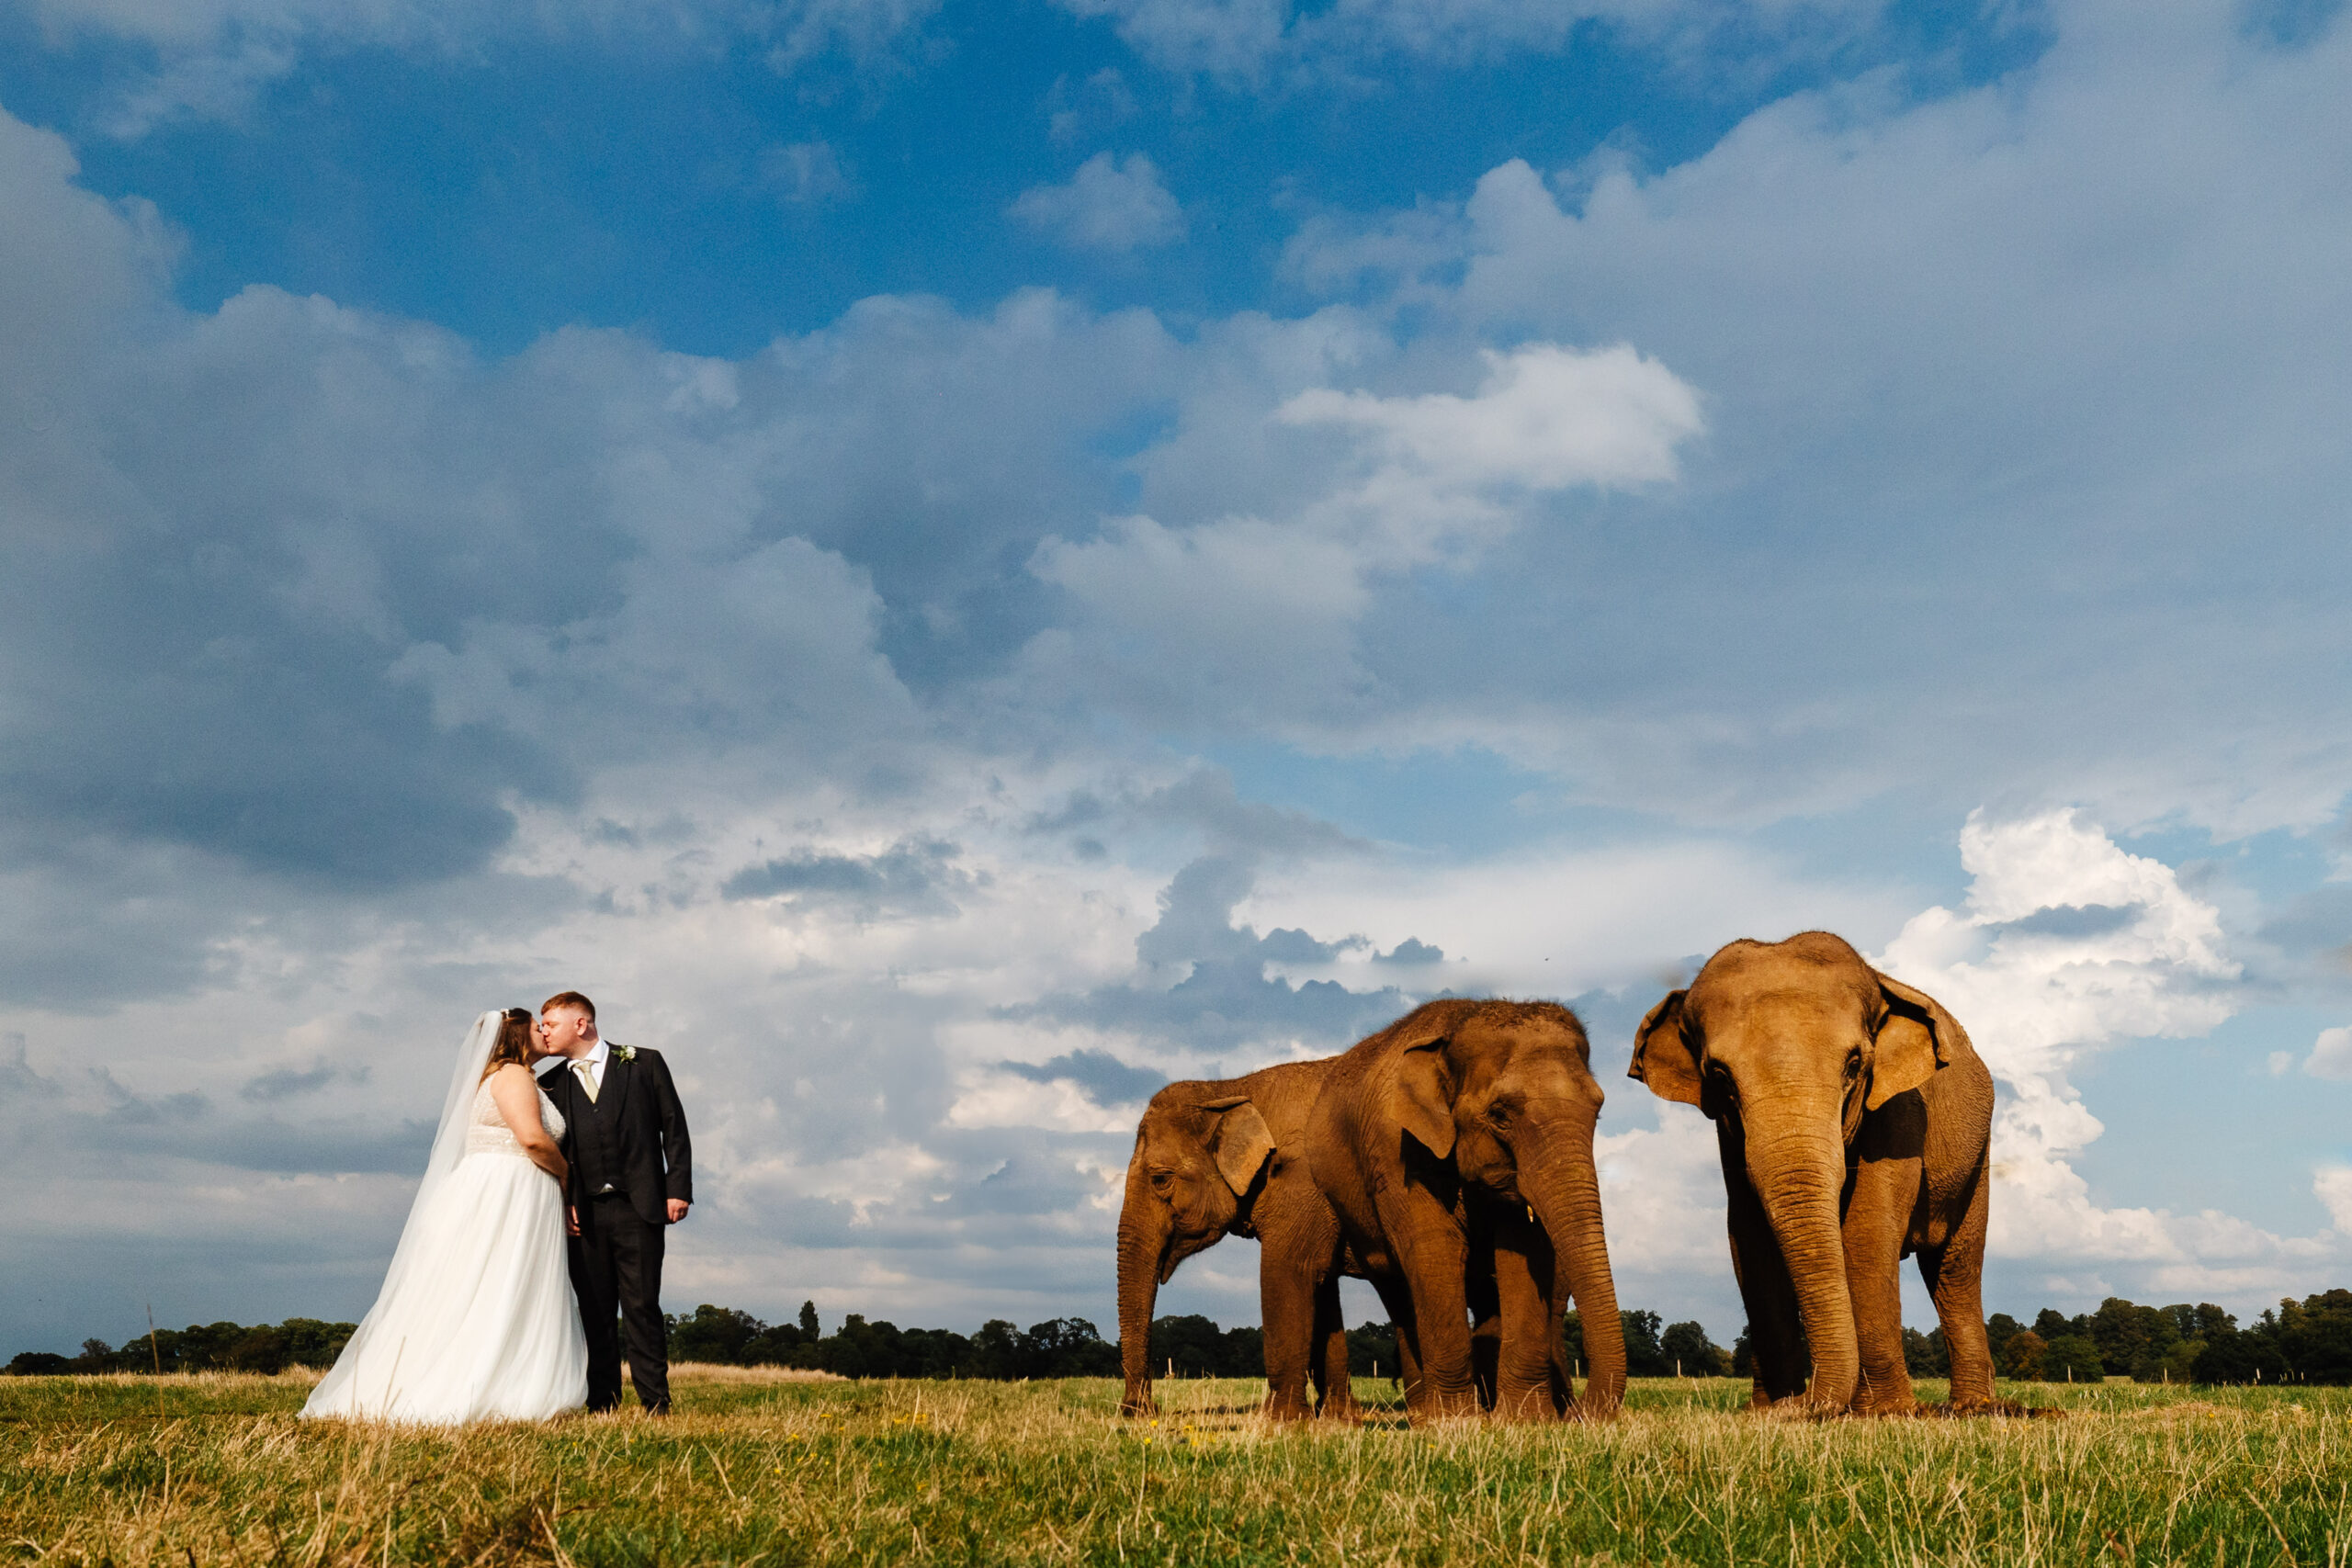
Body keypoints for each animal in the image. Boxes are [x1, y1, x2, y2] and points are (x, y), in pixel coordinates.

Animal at [1114, 1066, 1363, 1419]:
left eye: (1160, 1179)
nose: (1140, 1410)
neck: (1229, 1089)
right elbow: (1323, 1286)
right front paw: (1342, 1419)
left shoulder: (1302, 1186)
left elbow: (1294, 1273)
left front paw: (1284, 1420)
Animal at [1307, 1006, 1618, 1419]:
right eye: (1499, 1115)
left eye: (1597, 1113)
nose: (1580, 1413)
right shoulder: (1396, 1149)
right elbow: (1437, 1249)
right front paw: (1455, 1422)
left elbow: (1523, 1255)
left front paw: (1525, 1421)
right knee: (1397, 1290)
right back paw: (1425, 1417)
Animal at [1636, 926, 2004, 1419]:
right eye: (1720, 1077)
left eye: (1854, 1066)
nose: (1802, 1401)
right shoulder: (1729, 1137)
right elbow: (1748, 1237)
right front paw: (1770, 1412)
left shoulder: (1900, 1110)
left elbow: (1867, 1232)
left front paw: (1887, 1413)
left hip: (1977, 1156)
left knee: (1955, 1270)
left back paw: (1971, 1408)